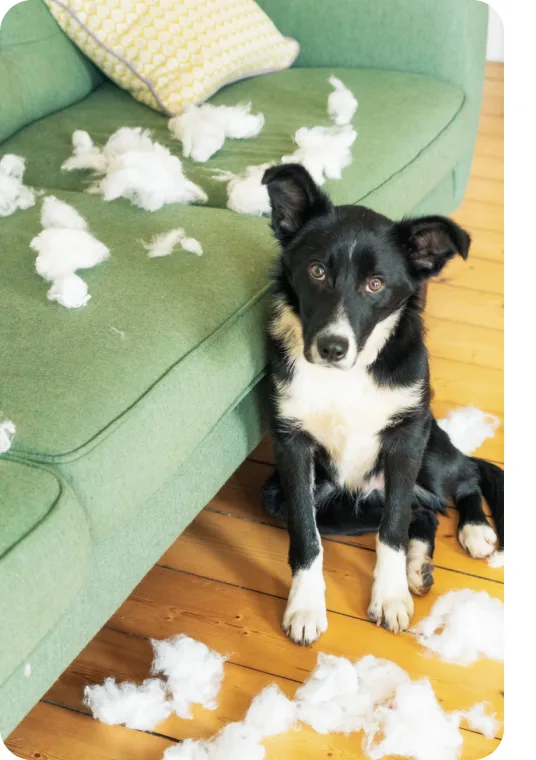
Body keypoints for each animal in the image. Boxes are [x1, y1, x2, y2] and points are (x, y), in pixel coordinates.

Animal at [260, 165, 502, 640]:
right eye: (316, 271)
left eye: (376, 284)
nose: (332, 348)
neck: (348, 376)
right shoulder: (291, 445)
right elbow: (305, 534)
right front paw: (305, 607)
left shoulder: (406, 438)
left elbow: (391, 530)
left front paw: (389, 598)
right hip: (323, 501)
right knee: (422, 512)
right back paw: (418, 566)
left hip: (430, 449)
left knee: (469, 474)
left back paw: (475, 530)